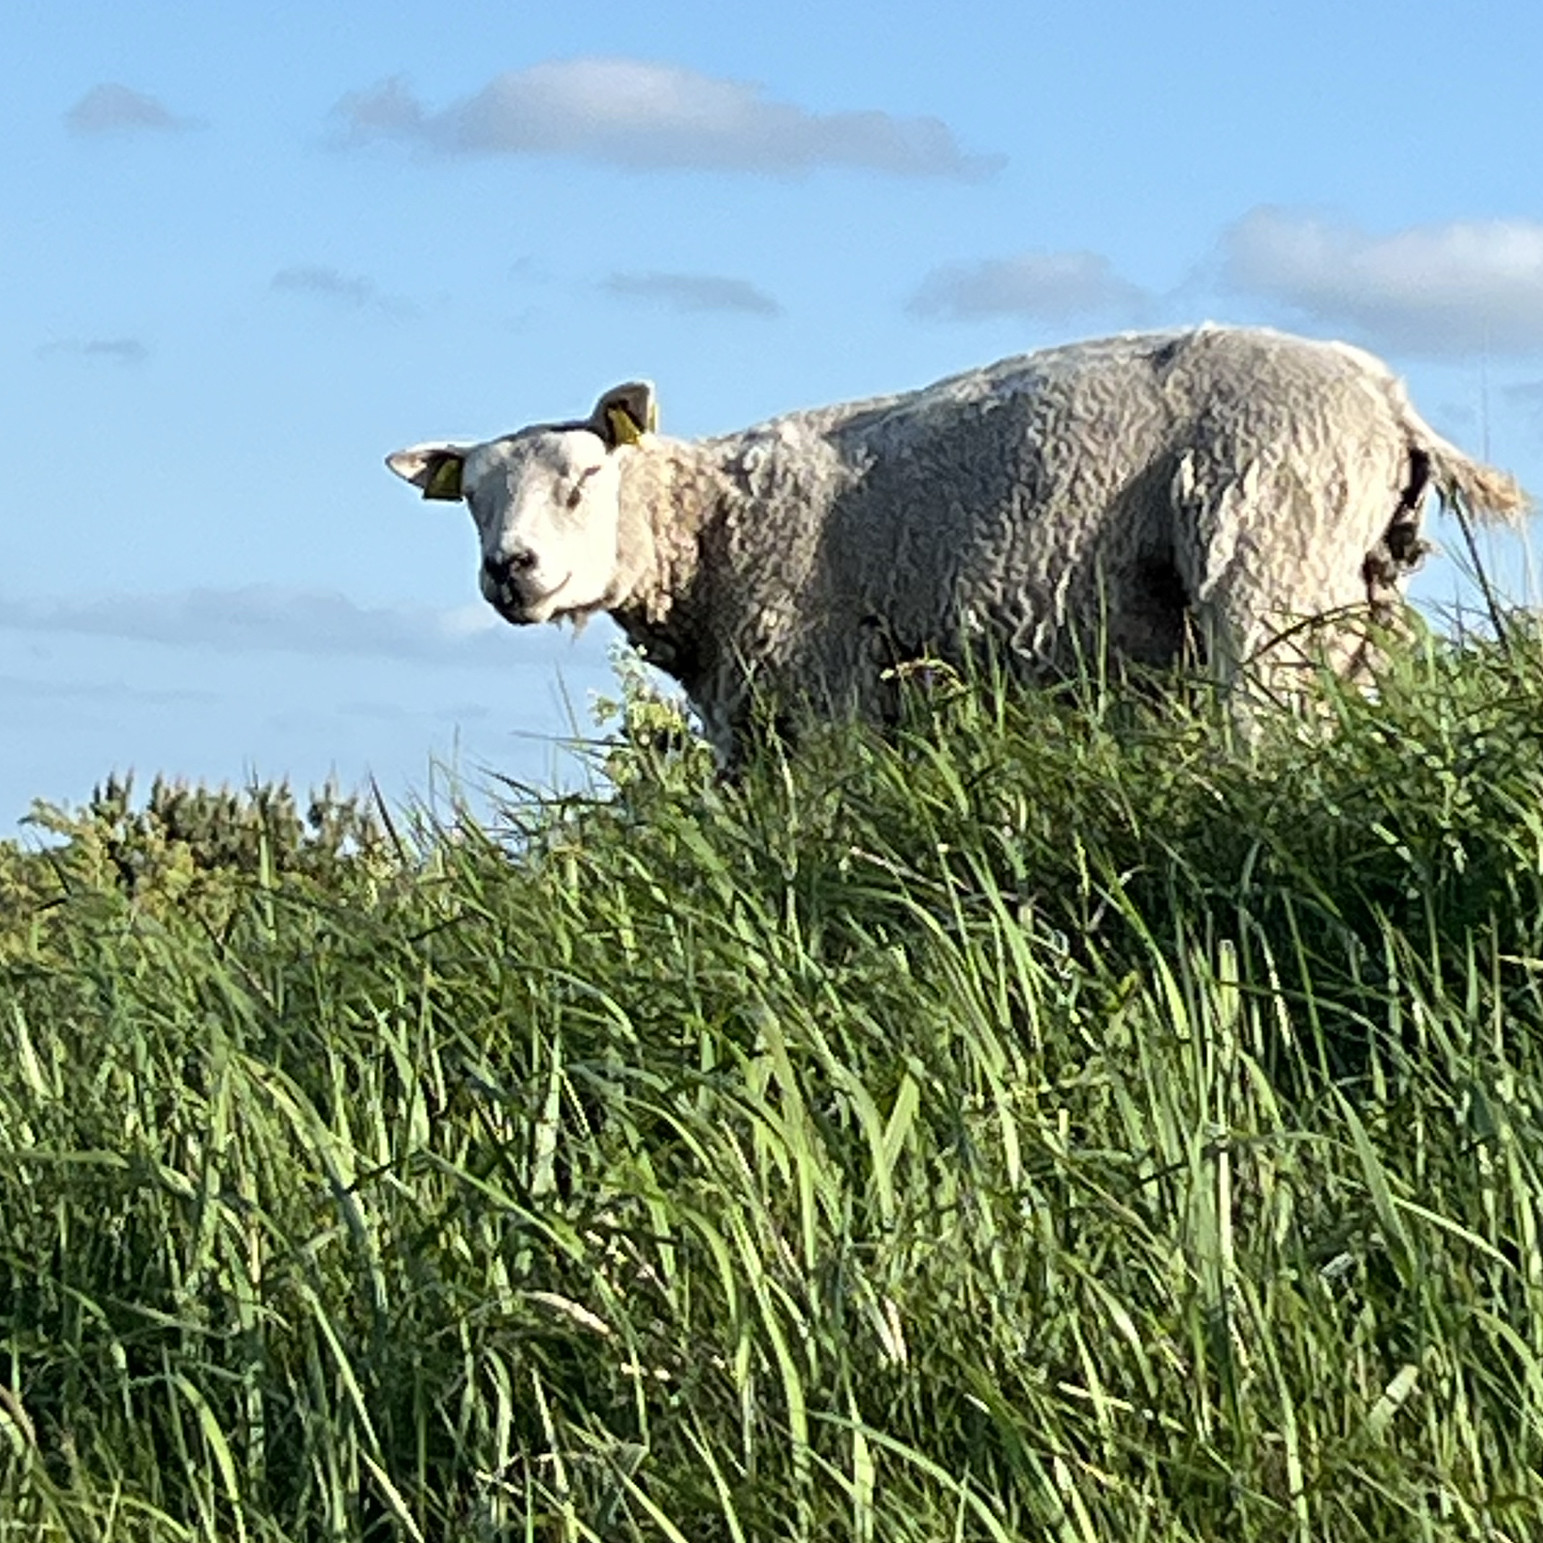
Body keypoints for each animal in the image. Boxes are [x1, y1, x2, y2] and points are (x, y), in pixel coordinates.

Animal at [386, 325, 1528, 759]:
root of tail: (1386, 402)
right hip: (1354, 592)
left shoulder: (824, 681)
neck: (709, 531)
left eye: (583, 481)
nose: (509, 570)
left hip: (1268, 563)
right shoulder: (748, 717)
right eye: (473, 501)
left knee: (1271, 718)